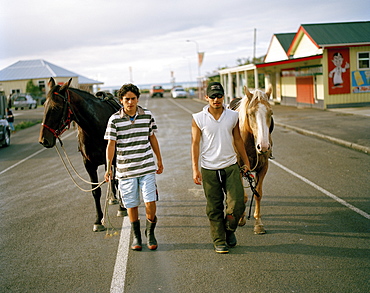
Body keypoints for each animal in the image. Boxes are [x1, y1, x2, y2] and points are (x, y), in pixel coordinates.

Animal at [39, 77, 125, 230]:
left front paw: (122, 208)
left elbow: (118, 180)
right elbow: (95, 191)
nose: (44, 140)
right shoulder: (88, 164)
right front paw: (98, 220)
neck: (95, 127)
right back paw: (112, 198)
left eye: (56, 107)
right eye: (44, 105)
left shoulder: (114, 159)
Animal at [230, 85, 274, 234]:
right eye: (250, 114)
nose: (264, 146)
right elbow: (242, 196)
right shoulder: (238, 169)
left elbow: (258, 194)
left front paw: (258, 223)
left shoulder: (263, 168)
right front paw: (241, 218)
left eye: (271, 113)